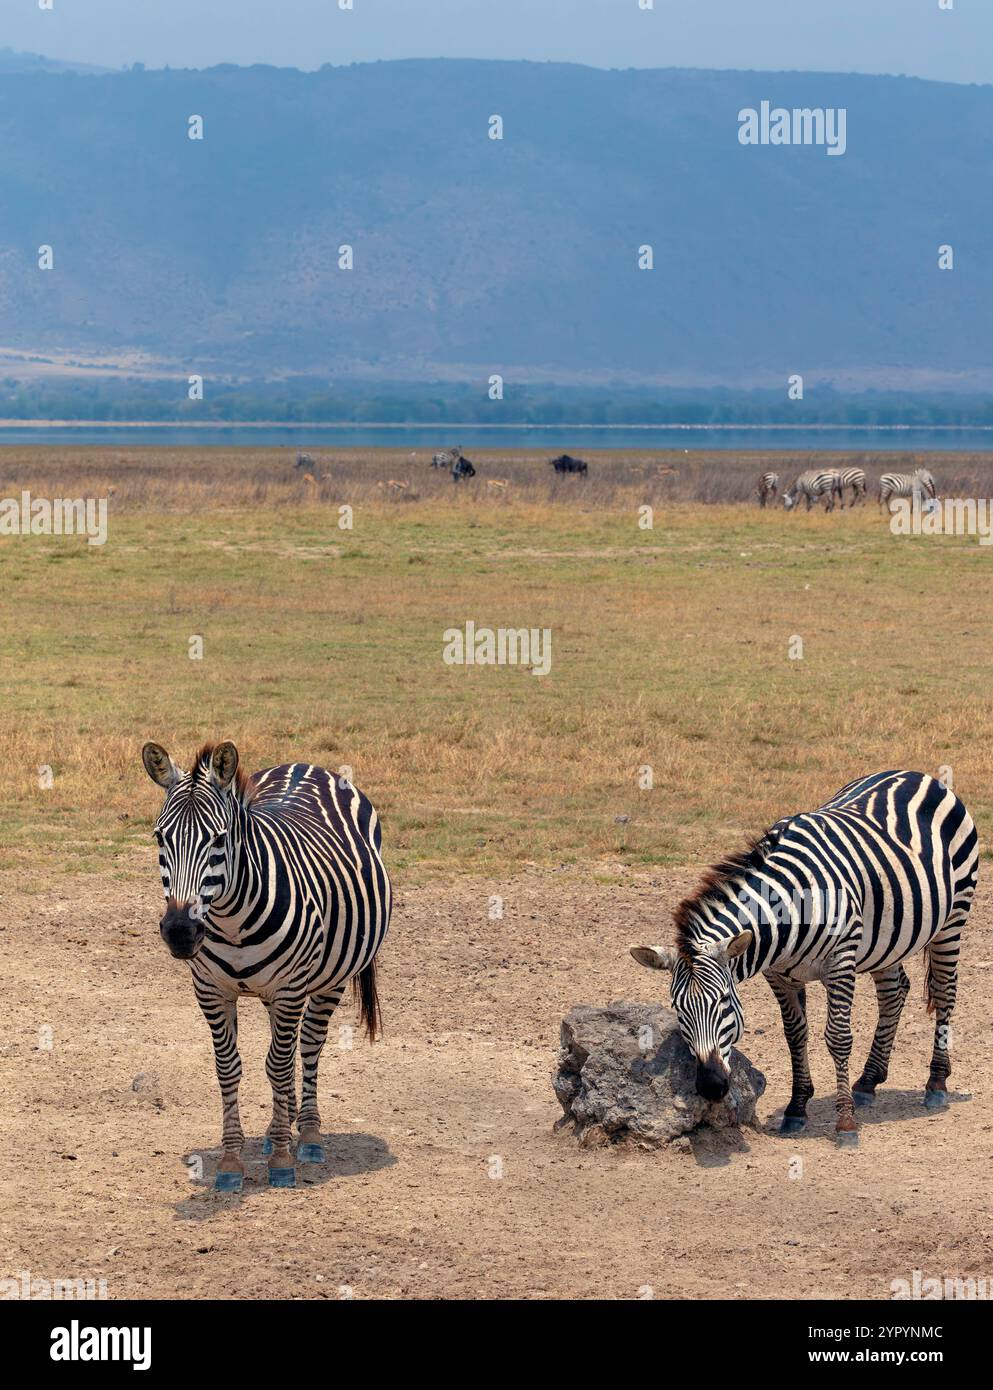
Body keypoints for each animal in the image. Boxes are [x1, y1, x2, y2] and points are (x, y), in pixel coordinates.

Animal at [141, 741, 391, 1191]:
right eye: (160, 836)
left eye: (219, 839)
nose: (180, 932)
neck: (231, 920)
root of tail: (305, 764)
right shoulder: (211, 990)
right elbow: (229, 1068)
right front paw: (231, 1160)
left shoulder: (290, 988)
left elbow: (277, 1064)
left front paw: (281, 1160)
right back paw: (282, 1128)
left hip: (328, 979)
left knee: (307, 1046)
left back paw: (306, 1135)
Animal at [630, 770, 977, 1144]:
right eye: (678, 1009)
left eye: (724, 1001)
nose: (711, 1086)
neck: (789, 911)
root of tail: (914, 773)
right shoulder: (778, 974)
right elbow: (795, 1034)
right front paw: (797, 1108)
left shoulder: (840, 962)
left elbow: (838, 1038)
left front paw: (845, 1123)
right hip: (887, 939)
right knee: (893, 992)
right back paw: (869, 1081)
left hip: (953, 917)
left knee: (944, 991)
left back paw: (936, 1082)